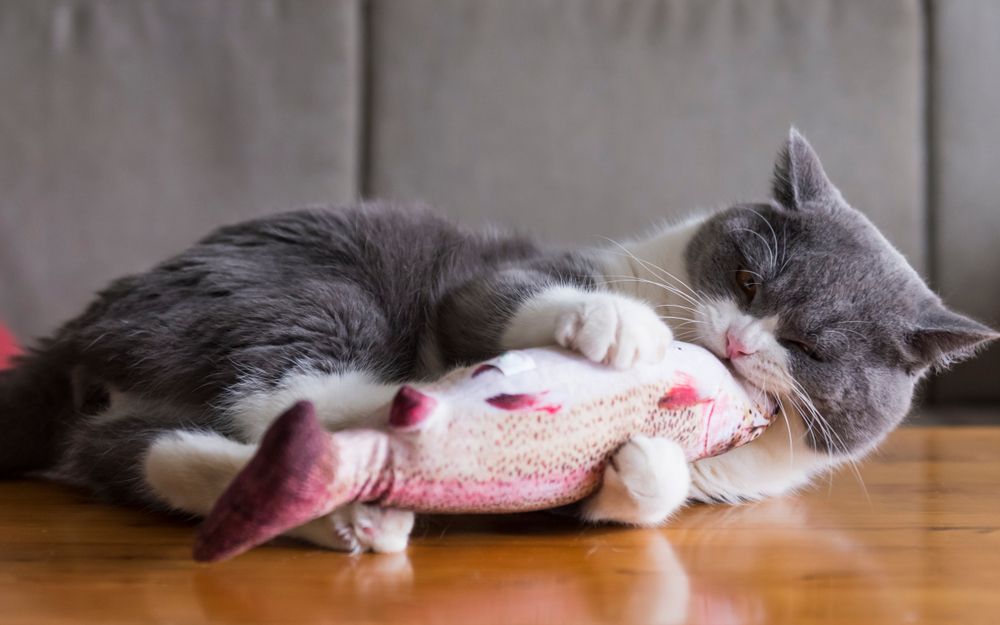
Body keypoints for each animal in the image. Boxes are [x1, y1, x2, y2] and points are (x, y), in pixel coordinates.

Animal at [0, 128, 992, 552]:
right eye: (749, 279)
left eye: (815, 348)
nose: (743, 339)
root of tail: (91, 317)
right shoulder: (488, 282)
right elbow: (503, 297)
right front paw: (616, 326)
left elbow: (626, 499)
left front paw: (644, 462)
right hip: (309, 291)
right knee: (282, 391)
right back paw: (416, 416)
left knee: (152, 451)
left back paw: (352, 511)